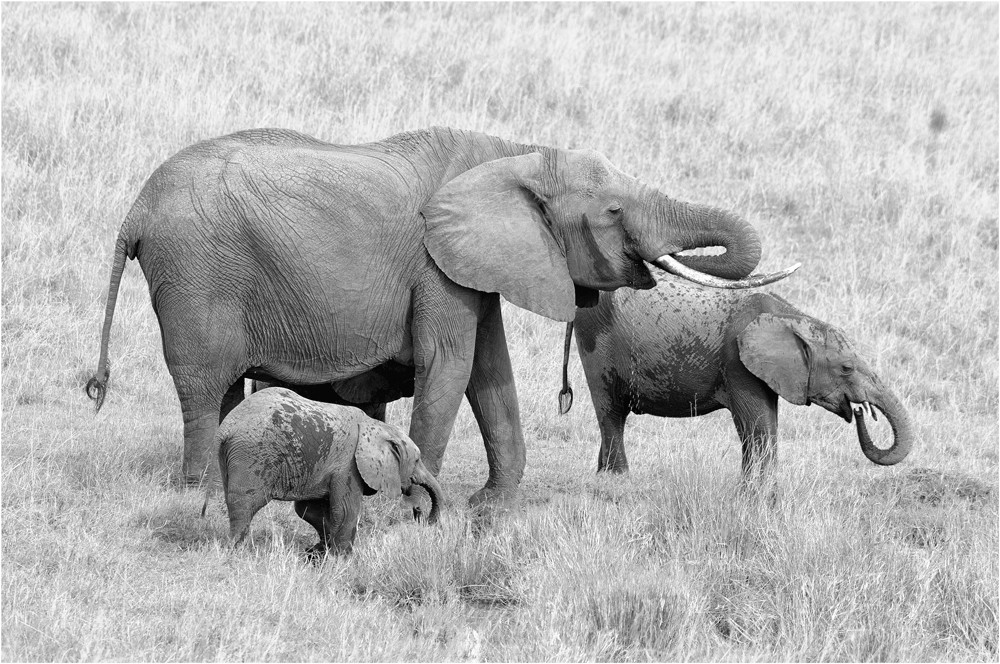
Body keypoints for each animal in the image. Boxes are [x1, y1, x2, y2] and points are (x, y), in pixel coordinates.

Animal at [86, 124, 796, 504]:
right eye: (614, 211)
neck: (511, 152)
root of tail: (134, 213)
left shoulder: (475, 265)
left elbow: (490, 371)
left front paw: (492, 505)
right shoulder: (436, 266)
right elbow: (450, 365)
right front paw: (412, 500)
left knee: (225, 389)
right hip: (195, 274)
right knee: (204, 386)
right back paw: (197, 487)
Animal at [207, 386, 442, 552]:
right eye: (418, 460)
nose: (418, 512)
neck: (377, 427)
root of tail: (225, 429)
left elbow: (309, 510)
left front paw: (320, 551)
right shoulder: (348, 466)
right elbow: (346, 511)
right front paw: (342, 560)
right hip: (252, 455)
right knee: (244, 504)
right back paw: (236, 550)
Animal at [560, 274, 916, 478]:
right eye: (846, 368)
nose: (861, 411)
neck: (793, 318)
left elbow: (764, 429)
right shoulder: (737, 365)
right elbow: (758, 429)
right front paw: (755, 501)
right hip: (597, 344)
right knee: (611, 414)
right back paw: (617, 483)